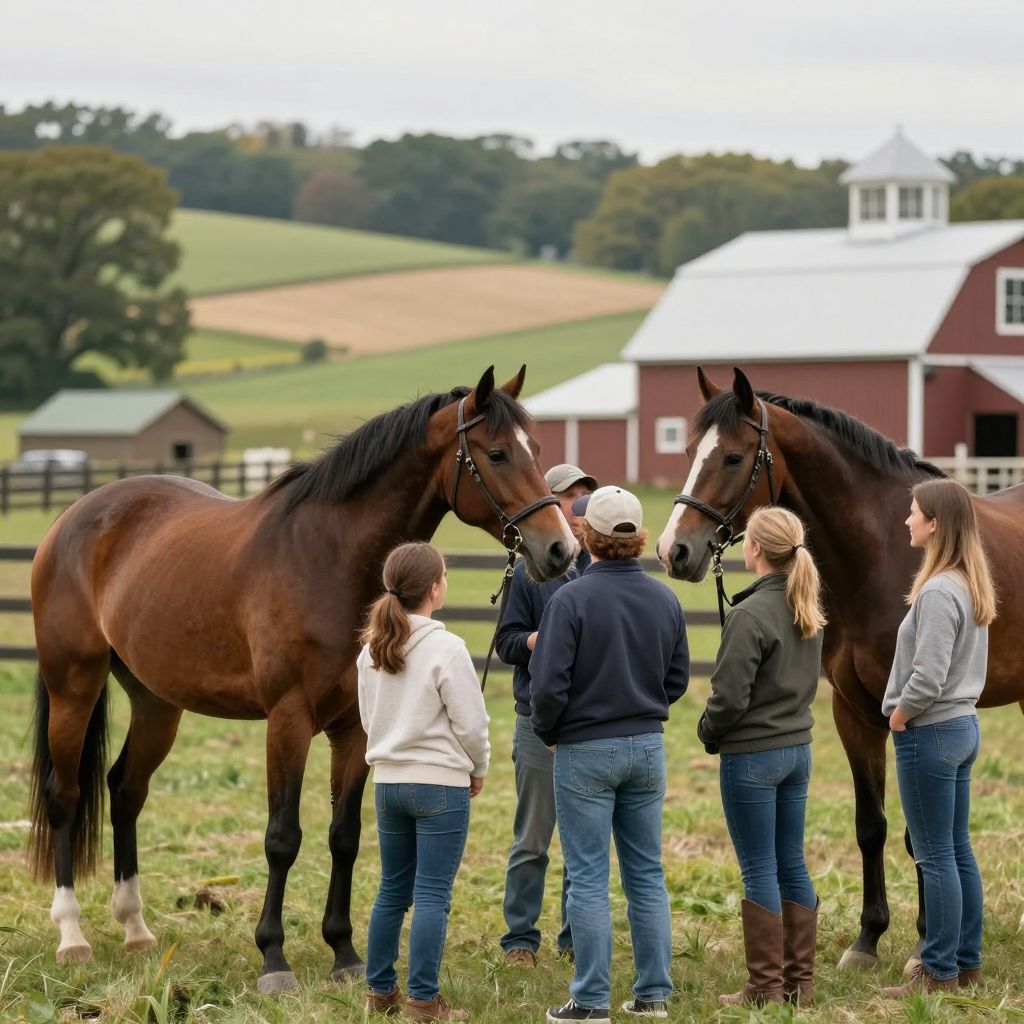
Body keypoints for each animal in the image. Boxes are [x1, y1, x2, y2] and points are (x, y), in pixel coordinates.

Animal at [28, 365, 576, 993]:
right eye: (498, 453)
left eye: (538, 451)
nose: (560, 549)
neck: (329, 559)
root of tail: (73, 517)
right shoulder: (287, 721)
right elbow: (282, 837)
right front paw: (273, 957)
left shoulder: (356, 729)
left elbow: (345, 836)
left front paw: (344, 952)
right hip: (74, 684)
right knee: (66, 796)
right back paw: (72, 935)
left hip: (156, 703)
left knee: (125, 790)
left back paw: (136, 928)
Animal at [655, 366, 1024, 971]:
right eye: (687, 451)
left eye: (732, 457)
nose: (674, 551)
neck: (883, 553)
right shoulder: (852, 711)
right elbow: (871, 825)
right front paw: (867, 939)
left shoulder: (906, 712)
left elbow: (918, 830)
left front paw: (924, 941)